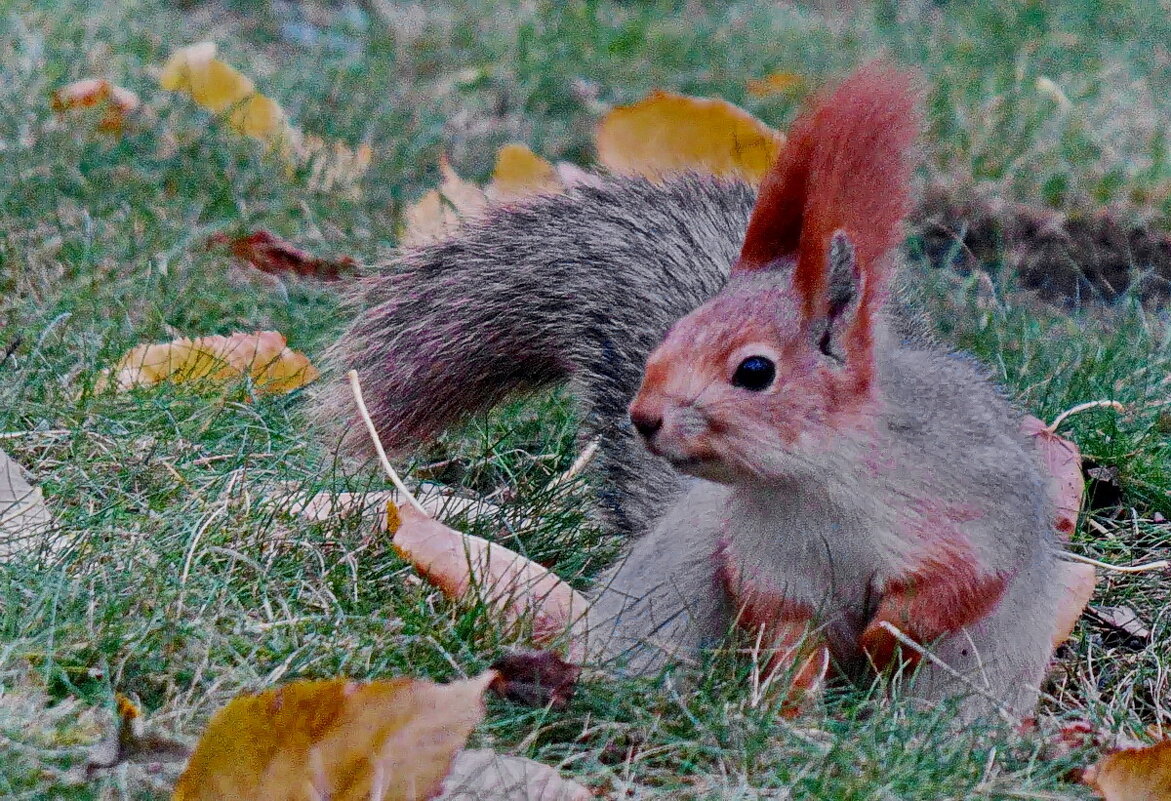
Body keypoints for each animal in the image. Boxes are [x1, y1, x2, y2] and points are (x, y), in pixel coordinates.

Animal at [316, 64, 1067, 721]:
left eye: (756, 371)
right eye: (671, 335)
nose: (643, 417)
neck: (816, 482)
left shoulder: (969, 494)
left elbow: (964, 581)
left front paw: (887, 635)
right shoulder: (771, 563)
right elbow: (787, 636)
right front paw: (787, 715)